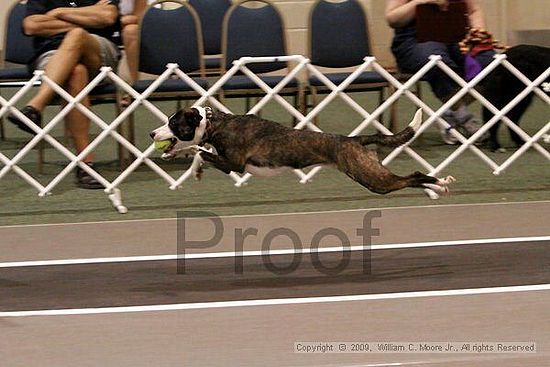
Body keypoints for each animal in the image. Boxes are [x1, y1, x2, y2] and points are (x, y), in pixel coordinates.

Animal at [152, 107, 458, 198]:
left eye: (173, 124)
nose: (152, 135)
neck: (216, 123)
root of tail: (353, 140)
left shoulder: (233, 164)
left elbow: (199, 150)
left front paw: (195, 168)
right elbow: (196, 149)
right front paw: (177, 160)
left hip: (372, 178)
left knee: (412, 176)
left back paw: (440, 184)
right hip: (372, 173)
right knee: (412, 178)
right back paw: (440, 184)